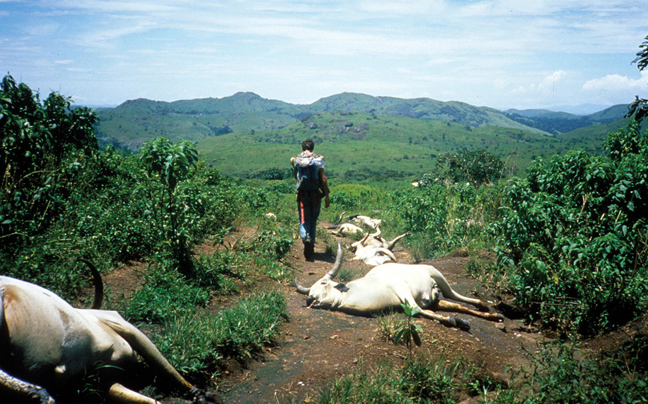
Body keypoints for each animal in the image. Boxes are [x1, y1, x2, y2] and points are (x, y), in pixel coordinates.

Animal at [296, 241, 504, 330]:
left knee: (455, 295)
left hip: (438, 275)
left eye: (323, 282)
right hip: (436, 297)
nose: (309, 299)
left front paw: (454, 321)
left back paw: (485, 306)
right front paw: (457, 321)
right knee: (456, 304)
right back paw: (493, 315)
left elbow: (417, 309)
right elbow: (420, 310)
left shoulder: (402, 290)